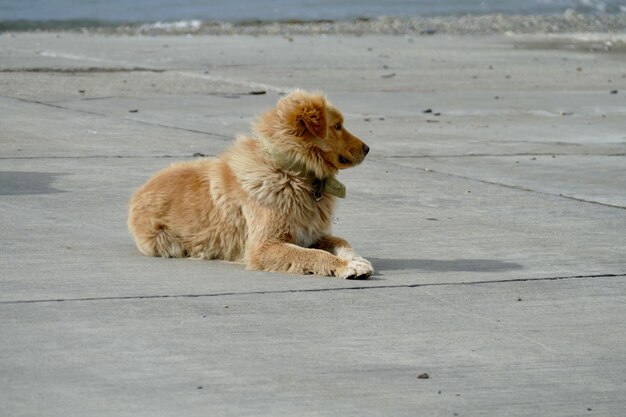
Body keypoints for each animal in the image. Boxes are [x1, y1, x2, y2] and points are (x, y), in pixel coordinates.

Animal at [127, 91, 370, 280]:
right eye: (337, 126)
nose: (367, 148)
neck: (290, 173)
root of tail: (140, 191)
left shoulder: (312, 234)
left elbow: (341, 241)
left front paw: (357, 260)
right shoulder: (264, 246)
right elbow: (314, 255)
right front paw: (345, 266)